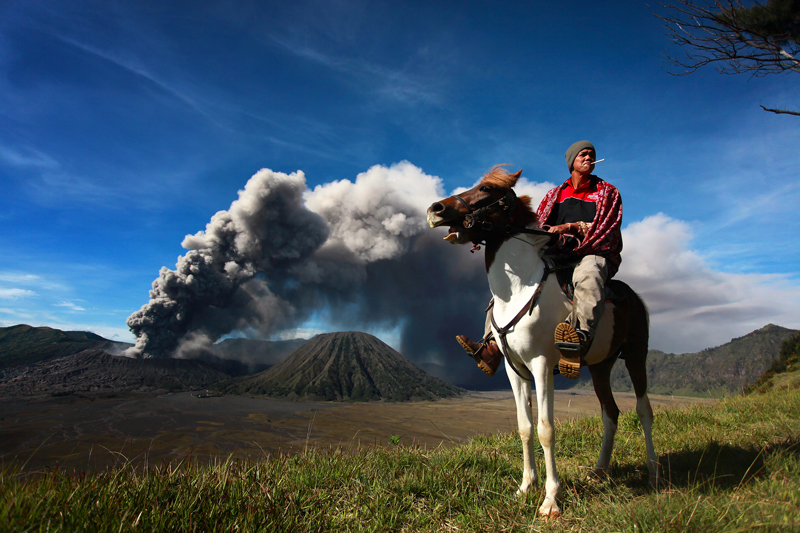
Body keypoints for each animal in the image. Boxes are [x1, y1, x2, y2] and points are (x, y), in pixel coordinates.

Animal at [424, 165, 656, 516]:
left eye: (487, 189)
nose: (435, 209)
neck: (520, 287)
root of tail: (633, 296)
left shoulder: (542, 365)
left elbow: (546, 429)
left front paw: (550, 500)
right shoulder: (515, 370)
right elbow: (525, 427)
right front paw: (525, 487)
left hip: (635, 355)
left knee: (643, 410)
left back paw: (655, 471)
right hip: (600, 366)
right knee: (611, 413)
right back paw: (600, 471)